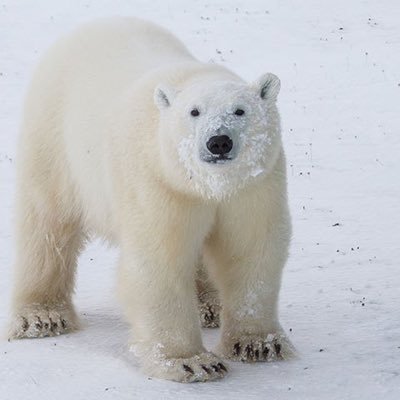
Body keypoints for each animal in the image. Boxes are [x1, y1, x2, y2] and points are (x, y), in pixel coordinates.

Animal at [7, 17, 292, 382]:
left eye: (240, 111)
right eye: (194, 112)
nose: (218, 142)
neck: (208, 185)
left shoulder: (253, 186)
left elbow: (251, 248)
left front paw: (258, 344)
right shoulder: (158, 180)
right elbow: (159, 259)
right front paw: (192, 361)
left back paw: (209, 305)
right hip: (54, 140)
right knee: (47, 225)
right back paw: (41, 316)